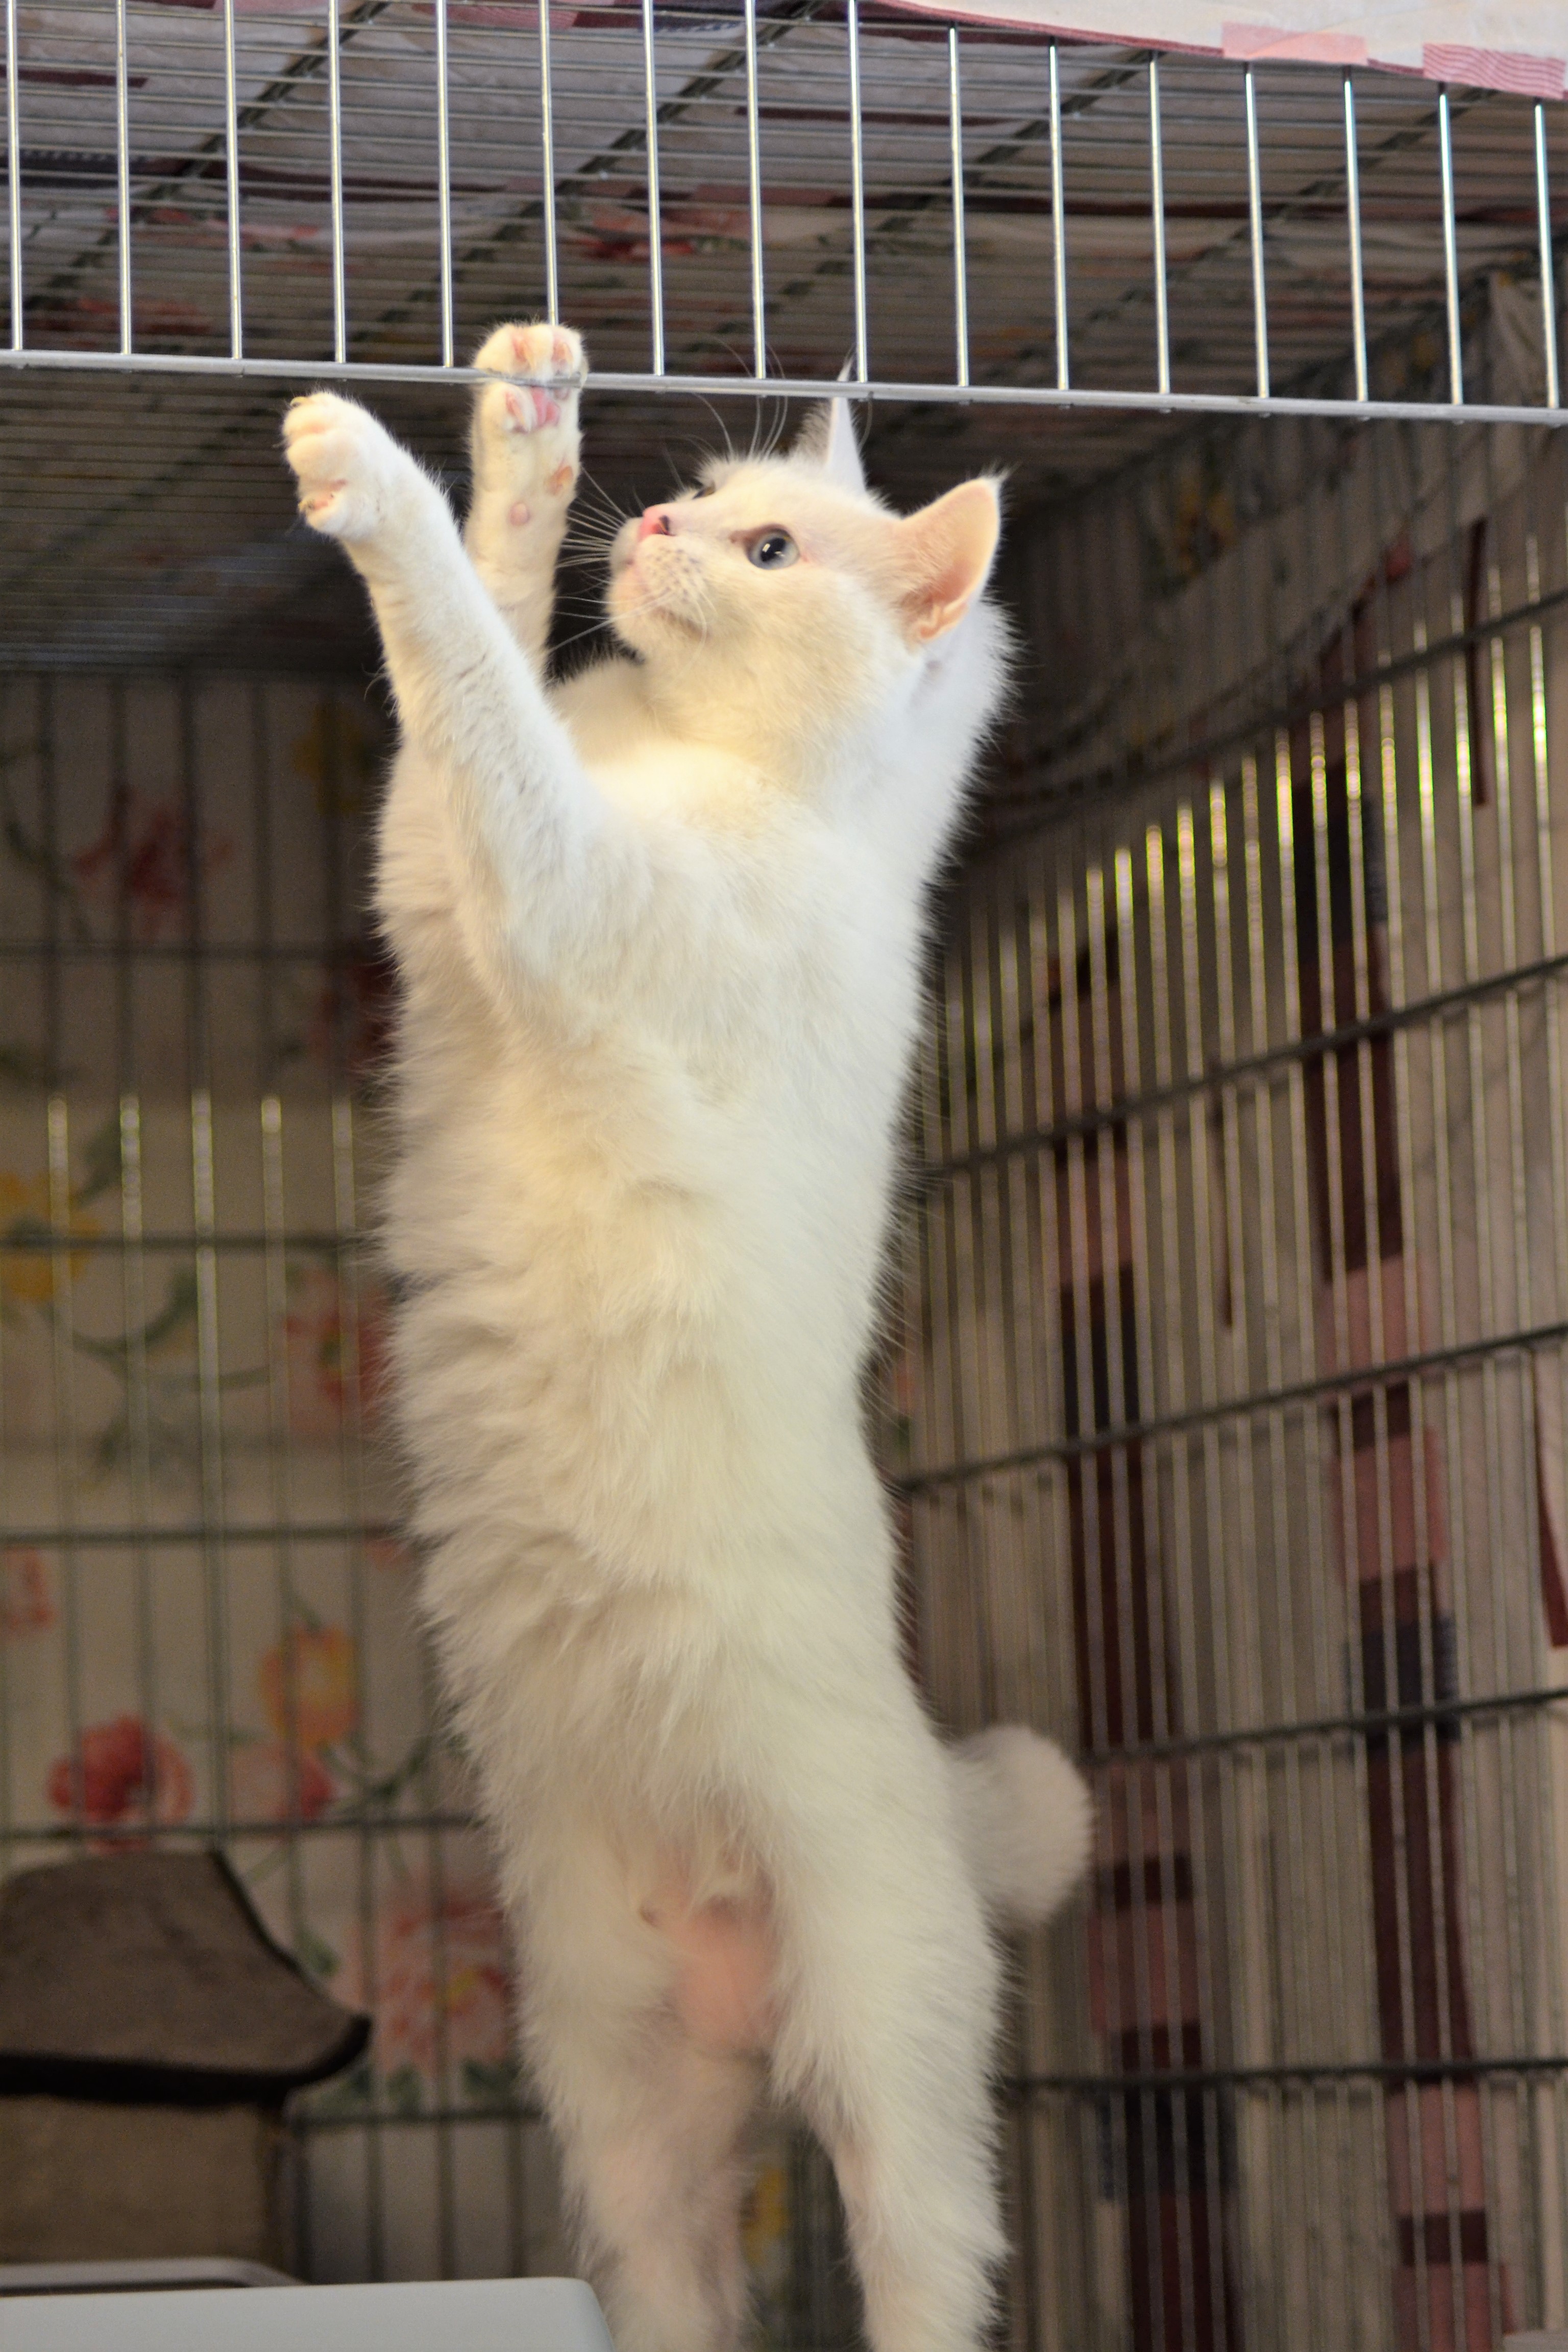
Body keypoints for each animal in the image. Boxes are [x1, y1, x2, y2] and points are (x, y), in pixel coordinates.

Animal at [283, 325, 1090, 2352]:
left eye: (773, 546)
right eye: (709, 497)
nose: (656, 527)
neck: (728, 772)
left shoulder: (548, 883)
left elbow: (463, 664)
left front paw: (375, 472)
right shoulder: (438, 882)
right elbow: (481, 649)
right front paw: (522, 435)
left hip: (887, 2071)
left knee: (925, 2270)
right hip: (624, 2125)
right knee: (680, 2295)